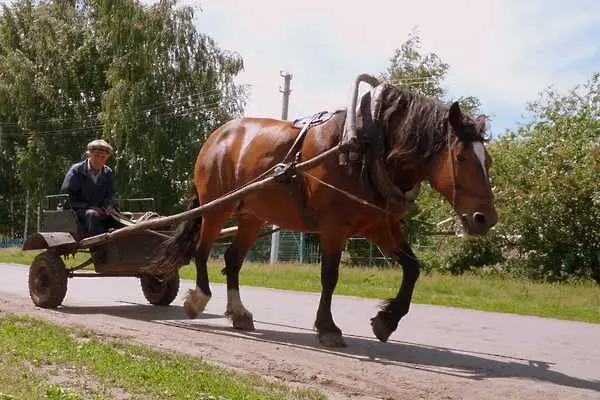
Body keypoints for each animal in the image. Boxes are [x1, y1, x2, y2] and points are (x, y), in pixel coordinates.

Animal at [150, 74, 496, 346]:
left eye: (488, 161)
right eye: (461, 157)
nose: (485, 219)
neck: (366, 147)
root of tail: (216, 137)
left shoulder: (379, 226)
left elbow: (412, 268)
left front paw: (387, 320)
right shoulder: (334, 227)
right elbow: (329, 276)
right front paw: (328, 328)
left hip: (251, 215)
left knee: (233, 260)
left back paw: (239, 313)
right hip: (217, 207)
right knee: (202, 250)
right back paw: (199, 298)